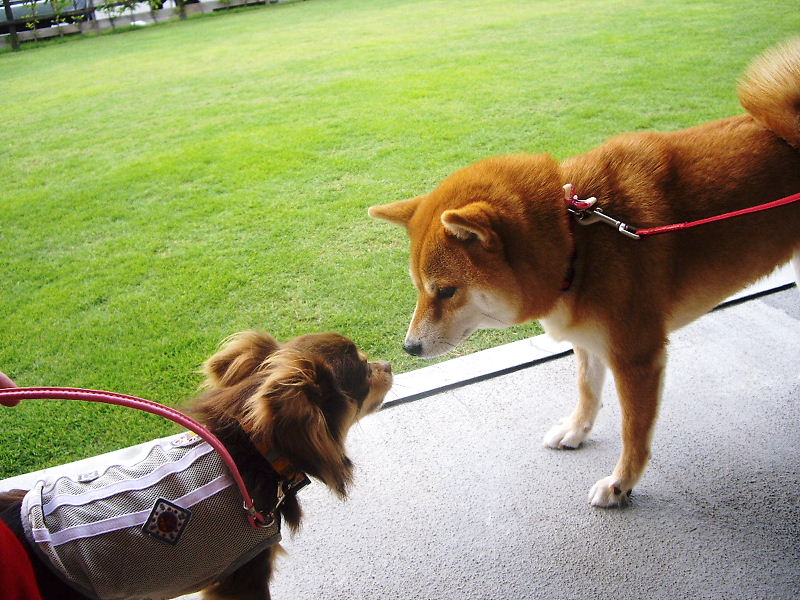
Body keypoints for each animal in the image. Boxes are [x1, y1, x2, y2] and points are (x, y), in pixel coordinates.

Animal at [368, 39, 800, 508]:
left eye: (446, 292)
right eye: (419, 289)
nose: (408, 349)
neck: (577, 241)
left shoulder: (637, 357)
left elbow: (634, 432)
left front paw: (621, 483)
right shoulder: (589, 339)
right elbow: (588, 391)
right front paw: (577, 430)